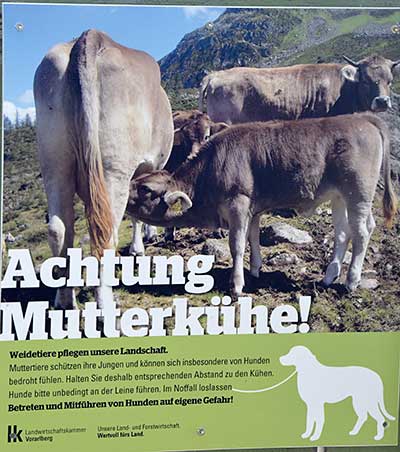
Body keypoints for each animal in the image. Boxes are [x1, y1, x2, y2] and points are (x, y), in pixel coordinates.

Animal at [33, 29, 173, 308]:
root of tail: (91, 37)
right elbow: (137, 213)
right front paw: (141, 245)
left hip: (54, 162)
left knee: (59, 229)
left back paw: (64, 299)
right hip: (113, 168)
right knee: (104, 232)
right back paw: (105, 304)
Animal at [127, 114, 396, 296]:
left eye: (145, 189)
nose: (123, 194)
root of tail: (363, 118)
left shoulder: (238, 203)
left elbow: (237, 244)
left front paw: (236, 284)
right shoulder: (252, 208)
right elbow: (253, 237)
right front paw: (255, 269)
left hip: (358, 192)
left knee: (361, 232)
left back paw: (351, 281)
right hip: (339, 197)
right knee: (343, 233)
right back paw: (329, 277)